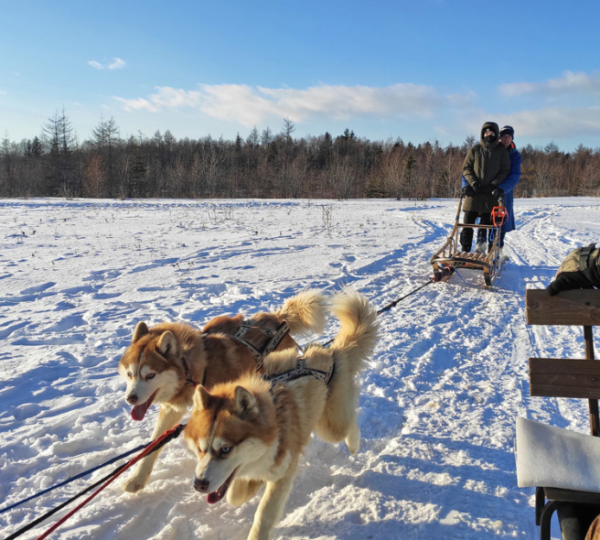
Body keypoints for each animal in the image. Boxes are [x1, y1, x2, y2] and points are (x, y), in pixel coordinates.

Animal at [115, 292, 326, 494]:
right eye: (130, 374)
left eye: (150, 375)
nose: (130, 398)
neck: (196, 370)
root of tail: (277, 317)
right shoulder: (172, 409)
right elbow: (154, 445)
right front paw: (137, 479)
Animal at [185, 292, 378, 540]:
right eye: (200, 448)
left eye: (225, 449)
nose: (199, 484)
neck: (274, 421)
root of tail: (331, 352)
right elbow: (234, 495)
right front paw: (251, 485)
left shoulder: (284, 471)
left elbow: (264, 513)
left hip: (331, 426)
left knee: (349, 424)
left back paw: (353, 443)